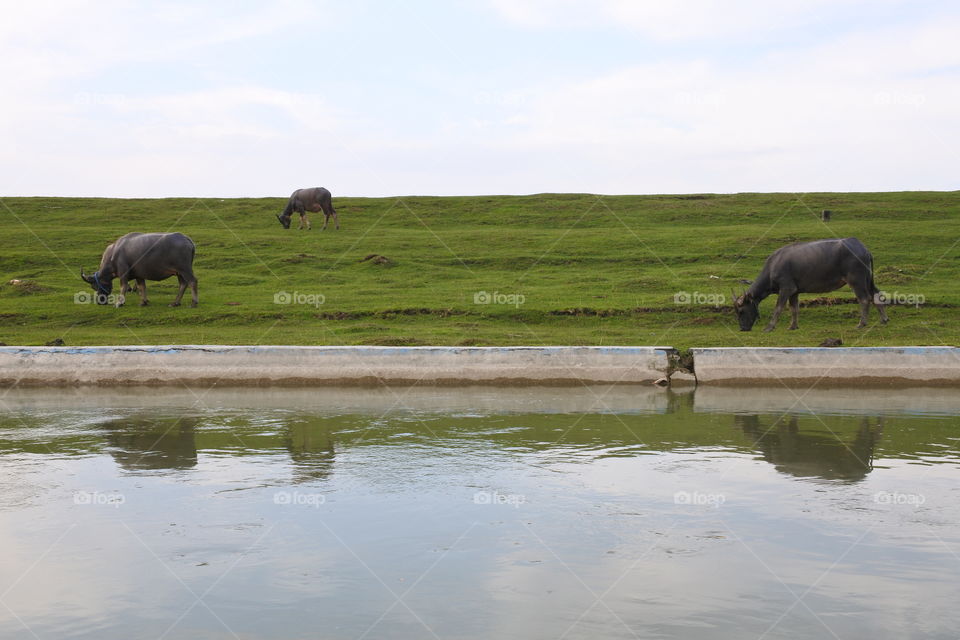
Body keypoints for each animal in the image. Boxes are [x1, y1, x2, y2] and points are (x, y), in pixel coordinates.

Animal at [740, 238, 888, 332]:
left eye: (741, 310)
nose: (742, 328)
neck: (773, 267)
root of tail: (863, 248)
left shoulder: (786, 288)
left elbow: (778, 308)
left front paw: (769, 327)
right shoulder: (794, 291)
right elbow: (794, 308)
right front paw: (793, 326)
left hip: (856, 280)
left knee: (864, 299)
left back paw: (861, 323)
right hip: (868, 279)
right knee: (876, 295)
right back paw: (884, 319)